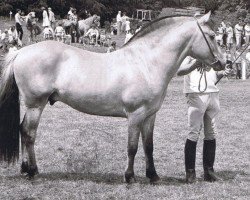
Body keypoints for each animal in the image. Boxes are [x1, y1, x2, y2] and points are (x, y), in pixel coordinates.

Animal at [0, 12, 227, 184]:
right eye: (212, 36)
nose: (223, 63)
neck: (146, 63)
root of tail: (20, 52)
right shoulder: (135, 115)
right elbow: (132, 147)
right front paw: (130, 177)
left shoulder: (150, 116)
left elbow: (149, 146)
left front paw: (153, 176)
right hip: (35, 105)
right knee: (29, 133)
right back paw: (33, 172)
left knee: (23, 130)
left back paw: (25, 168)